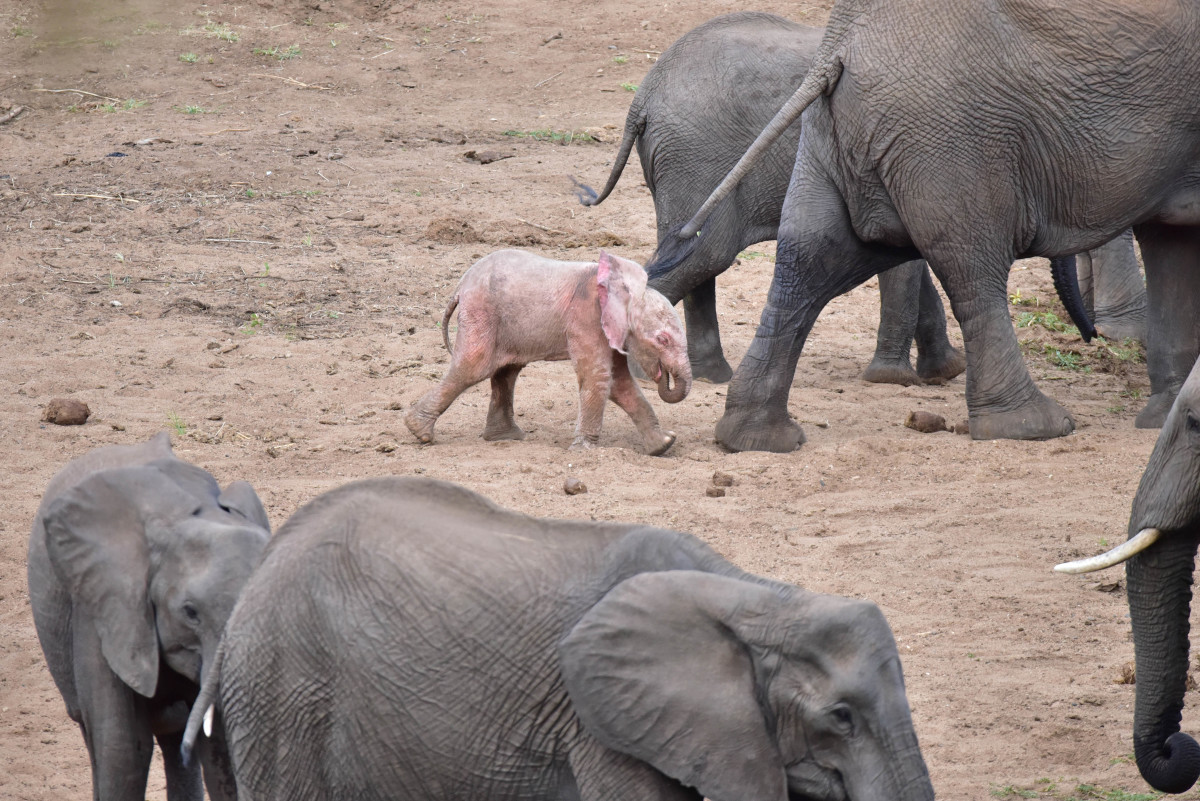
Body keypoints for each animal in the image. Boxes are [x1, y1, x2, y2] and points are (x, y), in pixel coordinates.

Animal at [405, 249, 690, 455]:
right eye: (662, 340)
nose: (663, 375)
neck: (623, 289)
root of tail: (460, 286)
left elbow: (621, 383)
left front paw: (664, 445)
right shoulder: (586, 318)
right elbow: (598, 377)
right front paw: (583, 451)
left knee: (505, 372)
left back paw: (506, 438)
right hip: (482, 314)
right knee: (473, 367)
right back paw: (420, 432)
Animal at [648, 0, 1197, 452]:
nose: (1092, 338)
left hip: (844, 133)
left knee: (807, 258)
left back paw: (752, 434)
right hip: (951, 132)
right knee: (971, 265)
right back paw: (1032, 427)